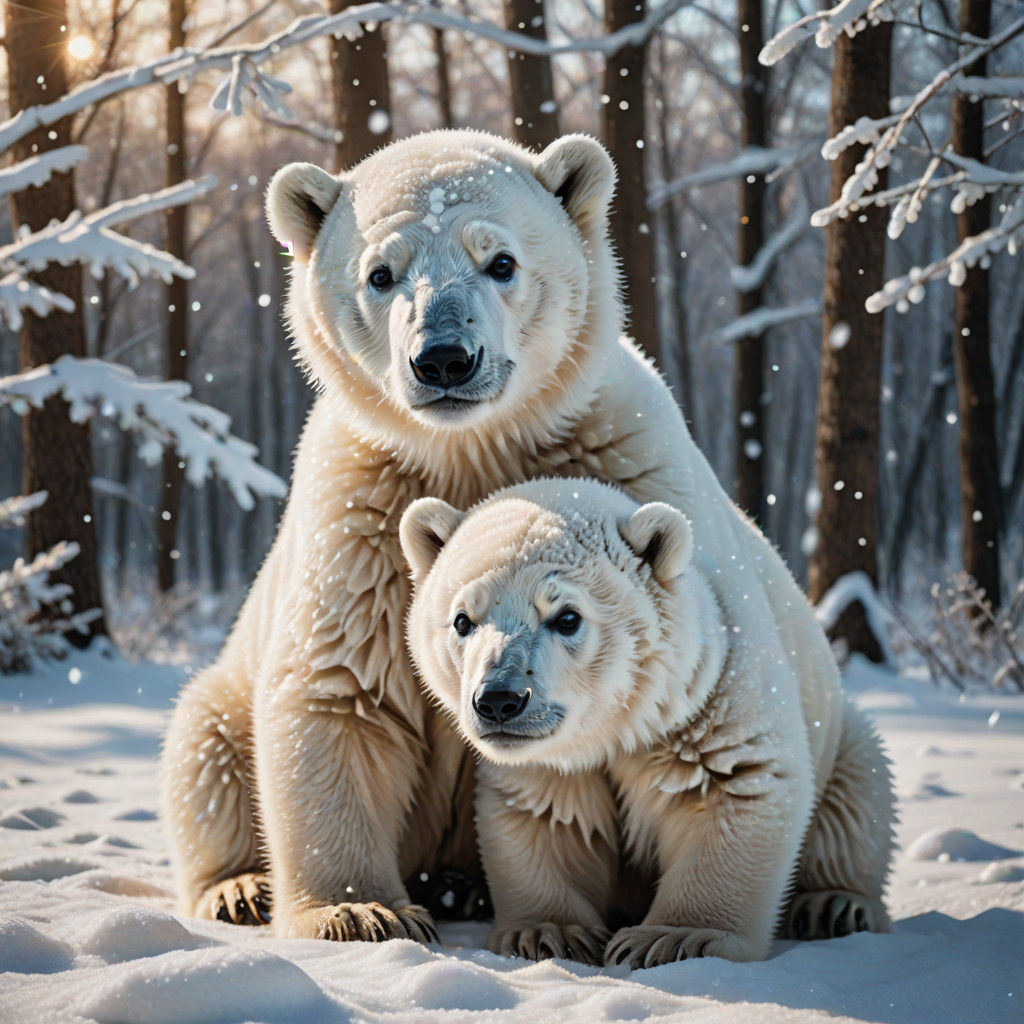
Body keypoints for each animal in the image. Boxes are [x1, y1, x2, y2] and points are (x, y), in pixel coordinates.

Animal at [400, 478, 896, 967]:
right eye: (462, 620)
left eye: (567, 617)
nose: (499, 700)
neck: (622, 727)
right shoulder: (550, 760)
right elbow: (548, 814)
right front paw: (549, 933)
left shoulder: (714, 694)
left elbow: (738, 784)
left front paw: (676, 938)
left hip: (841, 737)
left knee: (858, 794)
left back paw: (835, 904)